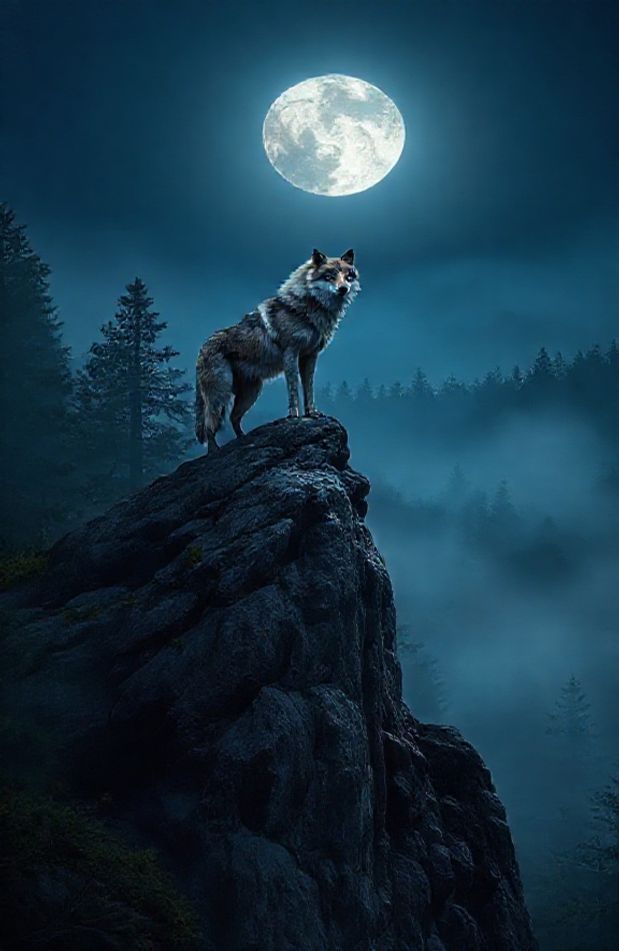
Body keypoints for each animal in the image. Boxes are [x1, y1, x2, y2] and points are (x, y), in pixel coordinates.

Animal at [195, 248, 360, 451]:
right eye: (330, 276)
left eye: (348, 276)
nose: (343, 289)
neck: (310, 309)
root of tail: (201, 349)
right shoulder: (291, 354)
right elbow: (293, 388)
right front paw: (294, 415)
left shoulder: (310, 357)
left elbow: (309, 388)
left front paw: (312, 413)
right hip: (220, 396)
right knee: (209, 427)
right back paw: (215, 452)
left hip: (251, 393)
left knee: (234, 418)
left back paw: (243, 440)